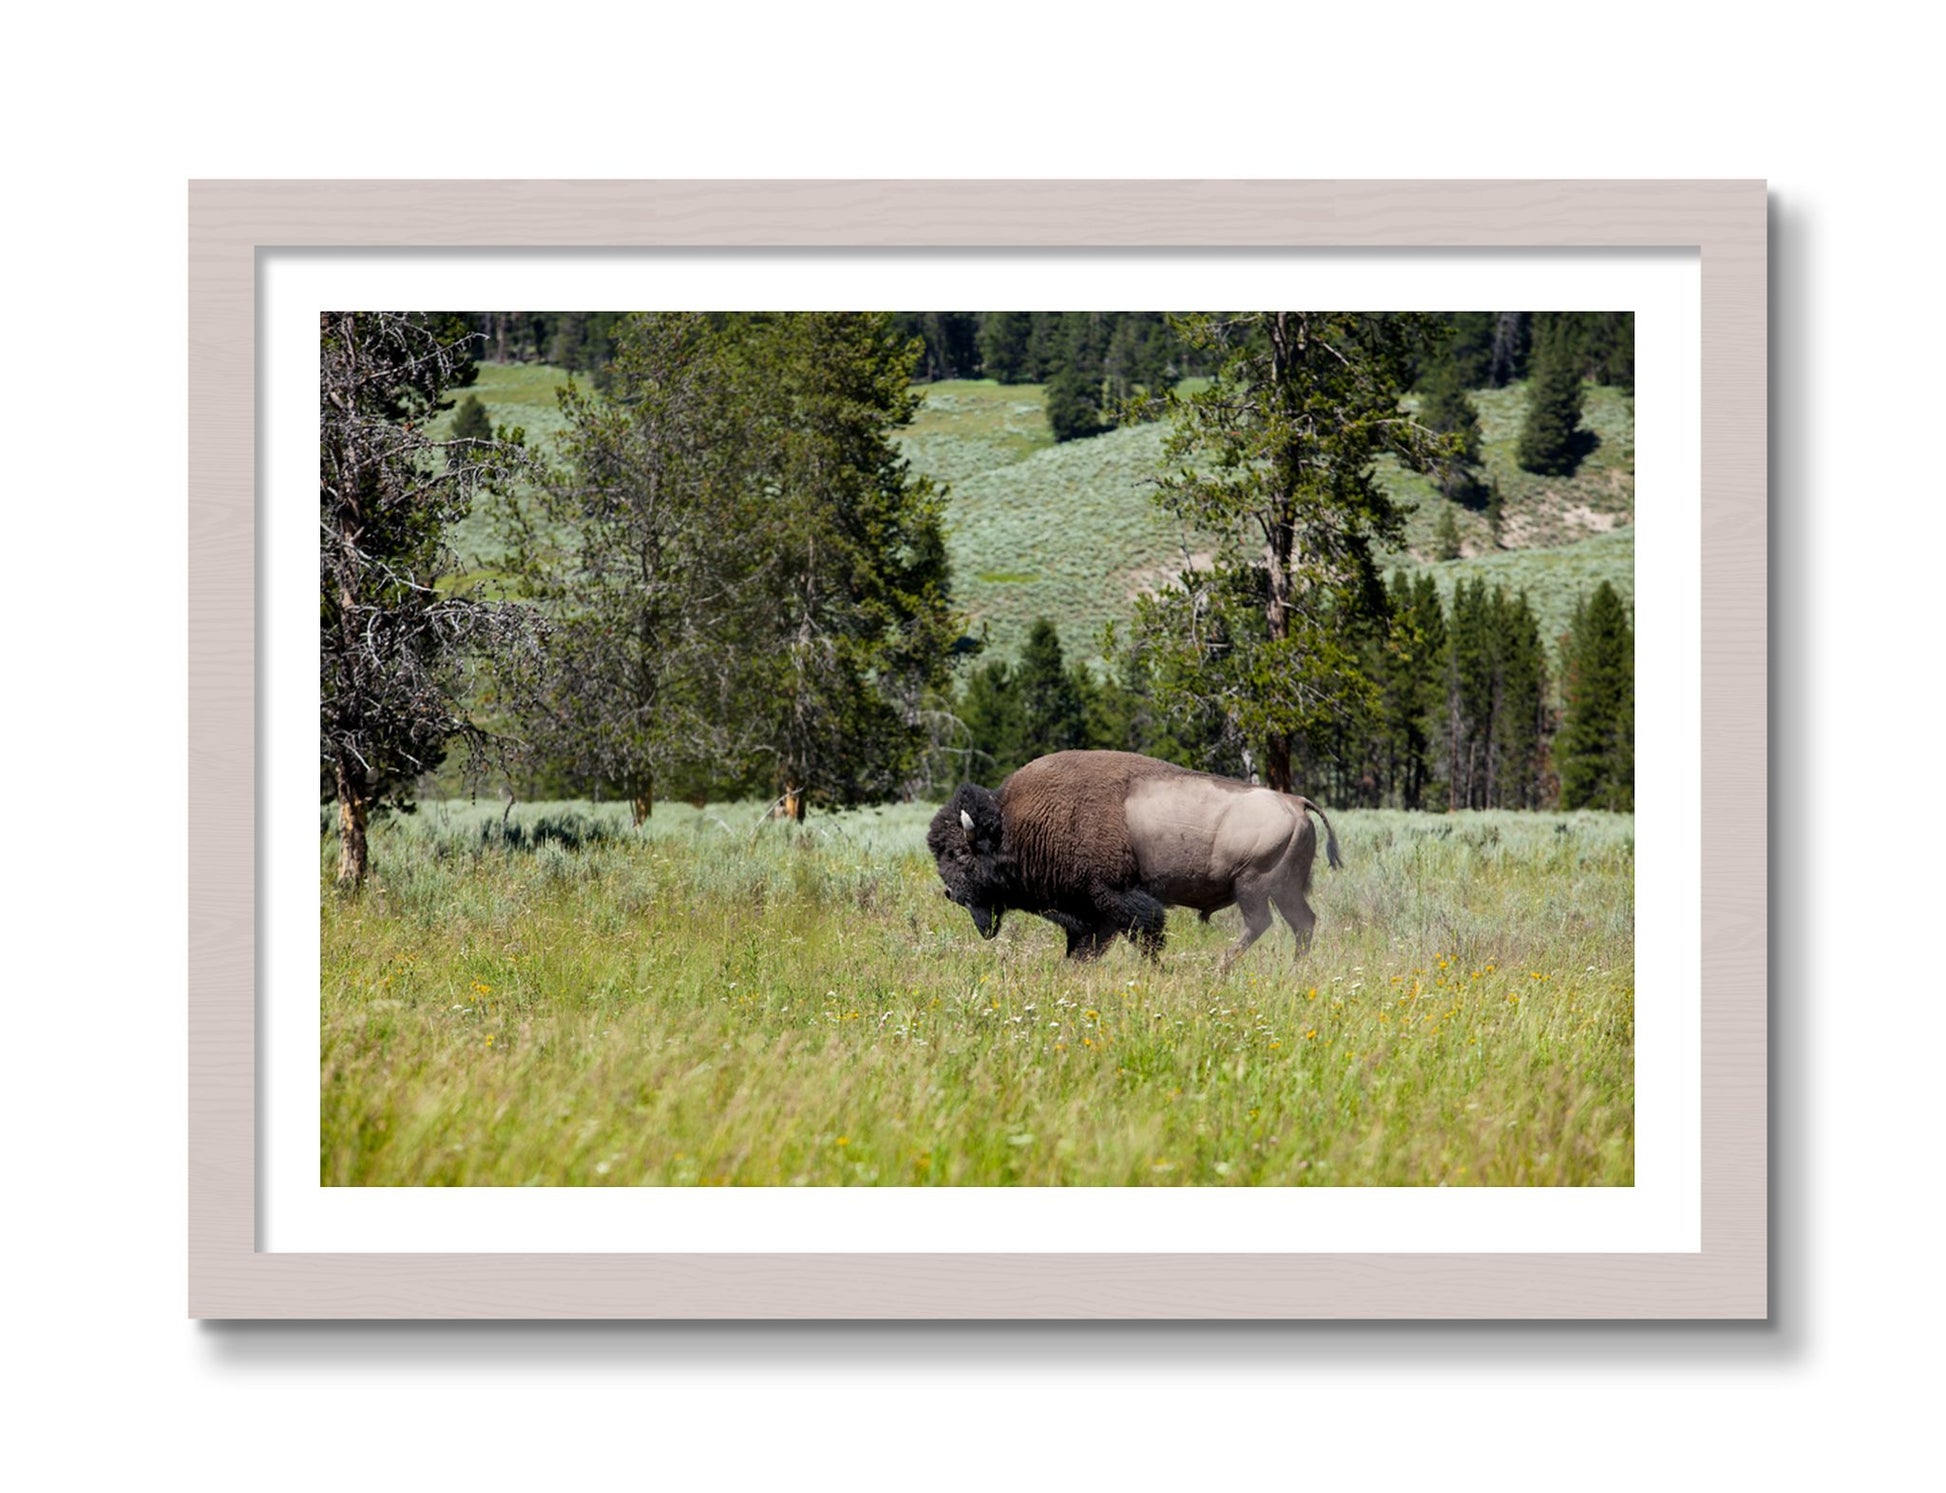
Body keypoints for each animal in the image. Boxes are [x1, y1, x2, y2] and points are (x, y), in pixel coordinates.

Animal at [926, 749, 1341, 971]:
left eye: (957, 853)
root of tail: (1295, 802)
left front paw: (1158, 970)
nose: (950, 893)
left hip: (1253, 885)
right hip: (1285, 889)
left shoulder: (1116, 898)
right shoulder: (1091, 912)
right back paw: (1294, 968)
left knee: (1261, 923)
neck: (1015, 825)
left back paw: (1219, 967)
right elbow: (1087, 945)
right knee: (1302, 923)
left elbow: (1145, 935)